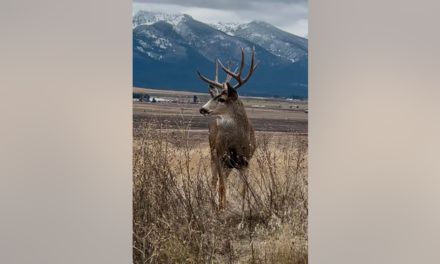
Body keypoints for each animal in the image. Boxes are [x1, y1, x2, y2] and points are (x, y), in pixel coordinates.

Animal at [198, 46, 260, 225]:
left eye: (222, 99)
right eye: (215, 97)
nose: (202, 109)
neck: (236, 143)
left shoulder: (245, 161)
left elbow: (244, 190)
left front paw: (242, 220)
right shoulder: (222, 157)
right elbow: (222, 187)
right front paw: (221, 214)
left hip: (230, 164)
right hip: (213, 154)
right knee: (215, 181)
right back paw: (214, 208)